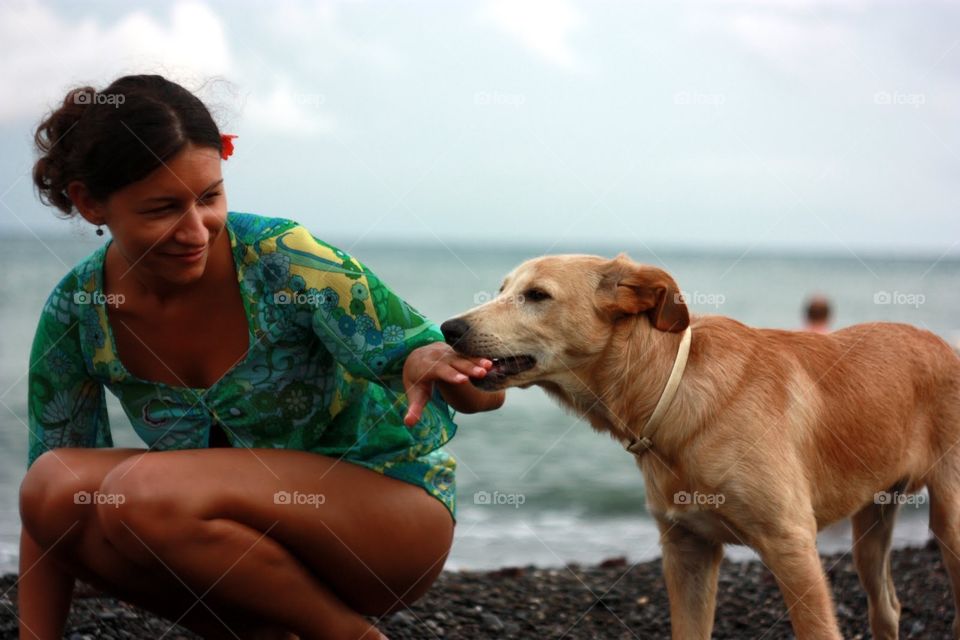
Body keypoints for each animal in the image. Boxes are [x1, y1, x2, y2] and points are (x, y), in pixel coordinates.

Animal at [440, 252, 960, 636]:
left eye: (537, 296)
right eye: (502, 290)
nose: (449, 329)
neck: (669, 389)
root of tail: (946, 346)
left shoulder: (791, 545)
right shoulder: (687, 549)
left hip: (950, 521)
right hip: (870, 529)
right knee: (887, 607)